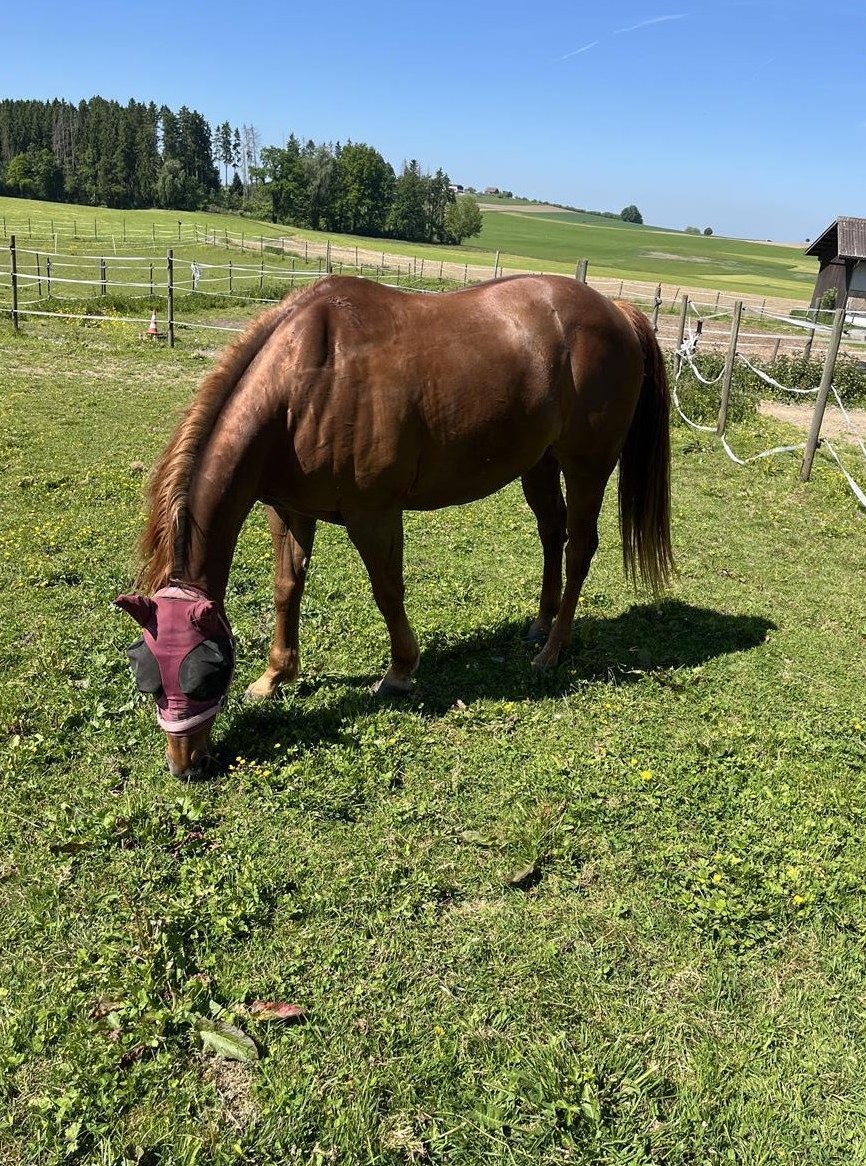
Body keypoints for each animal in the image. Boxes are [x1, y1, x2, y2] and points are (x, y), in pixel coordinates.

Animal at [115, 273, 673, 779]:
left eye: (207, 674)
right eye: (146, 671)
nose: (184, 766)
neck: (307, 379)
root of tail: (618, 311)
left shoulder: (373, 514)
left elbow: (387, 591)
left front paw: (400, 671)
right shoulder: (288, 510)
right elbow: (287, 588)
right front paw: (276, 675)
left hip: (587, 466)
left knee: (579, 547)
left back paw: (553, 649)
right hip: (540, 462)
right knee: (551, 534)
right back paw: (540, 623)